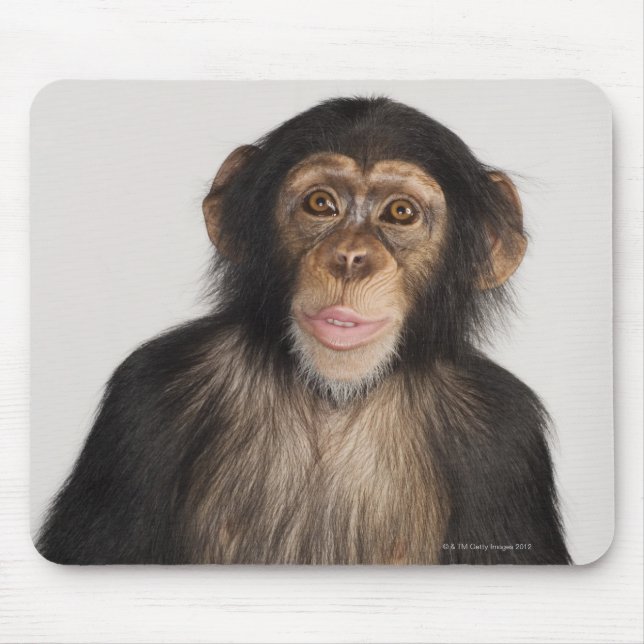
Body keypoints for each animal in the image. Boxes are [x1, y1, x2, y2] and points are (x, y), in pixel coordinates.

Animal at [36, 96, 571, 565]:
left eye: (400, 213)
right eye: (321, 204)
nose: (351, 257)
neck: (333, 397)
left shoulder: (505, 435)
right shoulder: (147, 397)